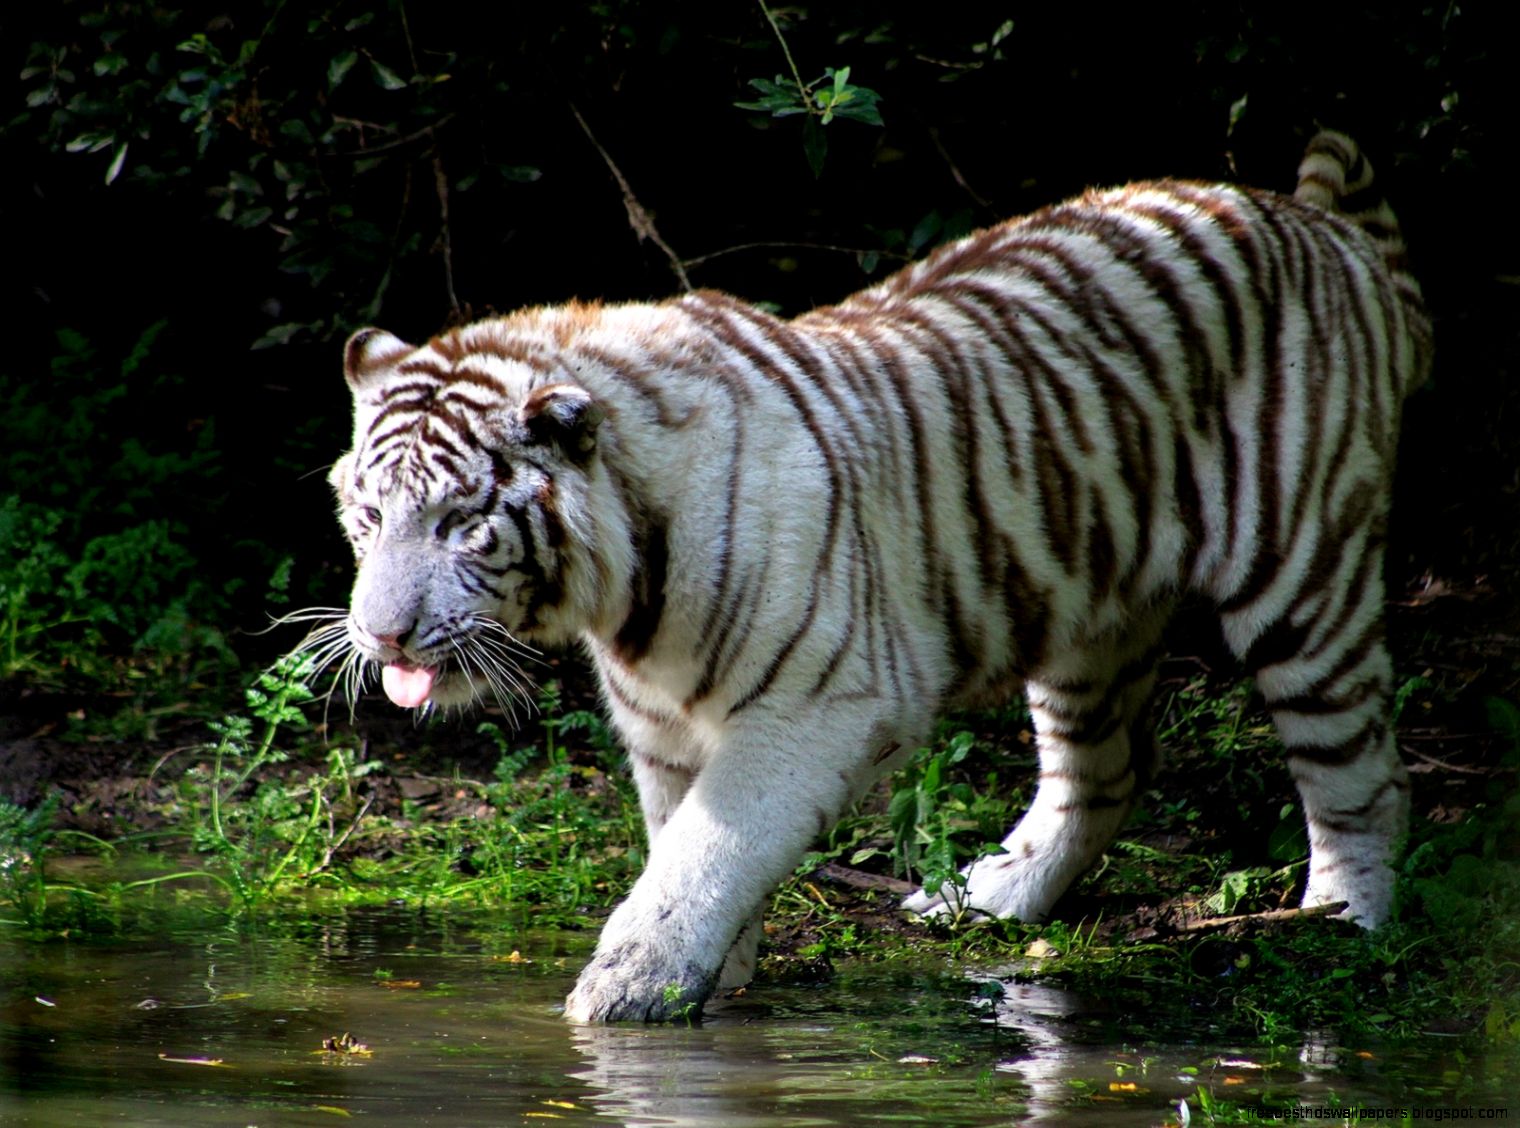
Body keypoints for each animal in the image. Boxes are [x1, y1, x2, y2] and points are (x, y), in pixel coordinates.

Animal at [313, 130, 1431, 1022]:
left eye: (462, 524)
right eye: (367, 518)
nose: (381, 636)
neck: (625, 588)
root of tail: (1311, 219)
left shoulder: (819, 704)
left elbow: (703, 855)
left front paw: (628, 989)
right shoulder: (665, 732)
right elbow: (686, 845)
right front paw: (713, 977)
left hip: (1302, 579)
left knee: (1361, 772)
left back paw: (1343, 920)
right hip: (1086, 614)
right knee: (1104, 773)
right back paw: (989, 899)